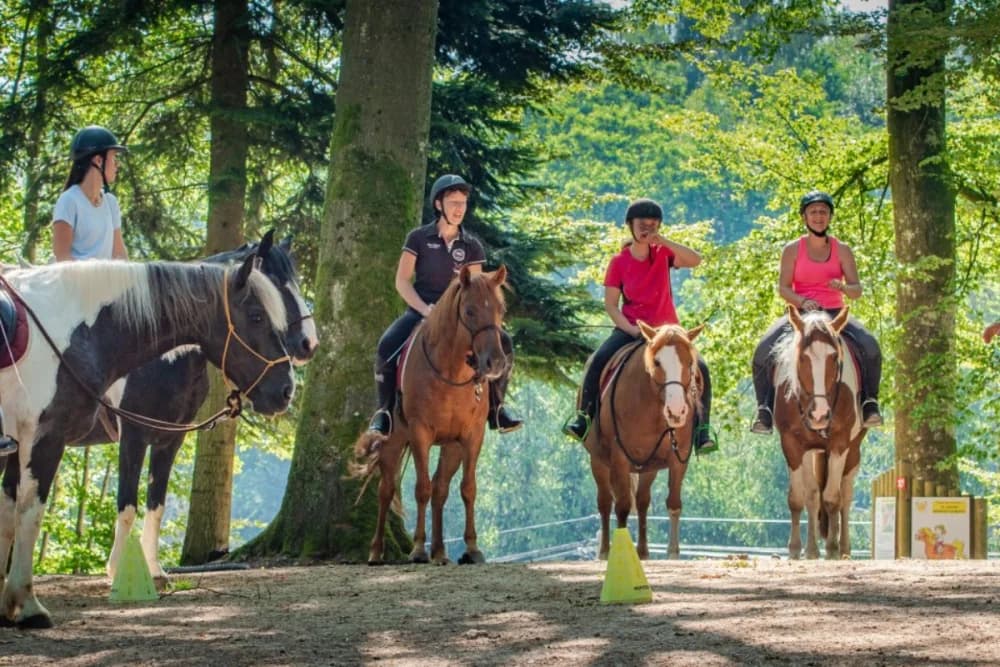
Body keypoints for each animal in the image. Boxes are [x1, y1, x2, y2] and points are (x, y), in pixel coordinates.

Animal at [0, 256, 295, 628]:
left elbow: (155, 505)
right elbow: (35, 513)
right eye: (256, 315)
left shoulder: (169, 439)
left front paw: (154, 571)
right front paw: (28, 604)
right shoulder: (68, 437)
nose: (286, 390)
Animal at [66, 231, 318, 585]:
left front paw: (155, 569)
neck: (166, 360)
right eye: (274, 287)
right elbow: (127, 506)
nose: (309, 344)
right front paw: (117, 572)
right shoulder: (133, 437)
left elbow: (156, 504)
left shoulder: (171, 440)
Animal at [354, 265, 508, 565]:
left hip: (451, 448)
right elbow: (421, 488)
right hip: (393, 442)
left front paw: (472, 549)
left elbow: (467, 488)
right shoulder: (420, 433)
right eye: (469, 311)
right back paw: (377, 551)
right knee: (386, 490)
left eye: (500, 309)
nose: (494, 363)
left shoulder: (472, 437)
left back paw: (439, 551)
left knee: (441, 489)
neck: (452, 374)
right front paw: (417, 549)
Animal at [583, 321, 704, 561]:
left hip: (649, 467)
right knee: (605, 502)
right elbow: (621, 506)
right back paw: (604, 551)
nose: (676, 411)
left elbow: (673, 503)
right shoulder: (619, 459)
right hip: (598, 461)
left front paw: (673, 553)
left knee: (642, 502)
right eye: (657, 362)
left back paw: (643, 551)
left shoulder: (679, 457)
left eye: (689, 362)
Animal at [772, 306, 864, 560]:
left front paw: (831, 549)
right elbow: (799, 498)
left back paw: (843, 549)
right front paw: (795, 549)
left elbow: (833, 498)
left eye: (834, 357)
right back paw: (812, 550)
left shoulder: (840, 444)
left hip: (853, 451)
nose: (819, 415)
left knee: (845, 496)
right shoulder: (792, 445)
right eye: (803, 357)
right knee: (813, 495)